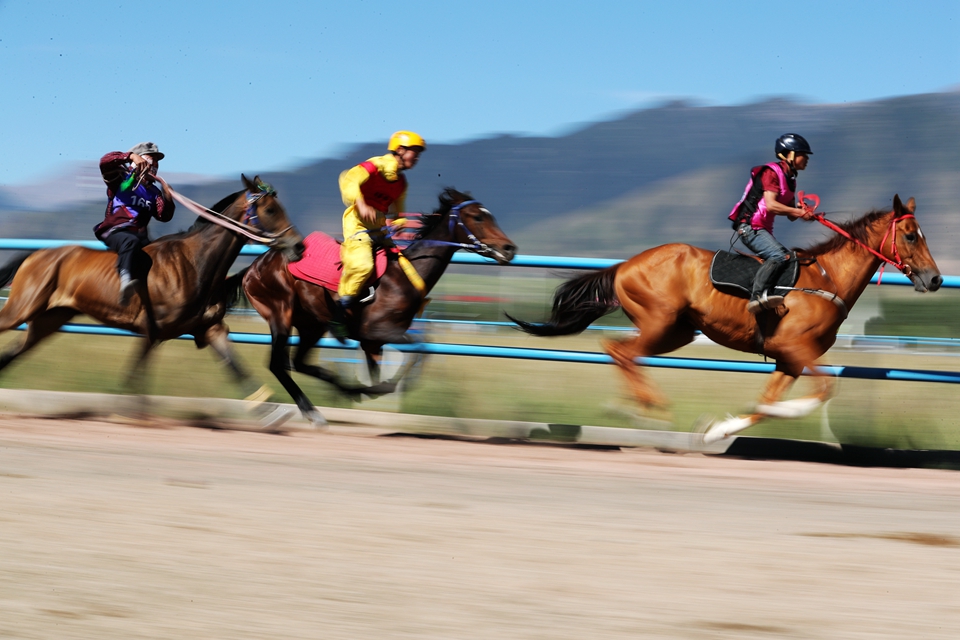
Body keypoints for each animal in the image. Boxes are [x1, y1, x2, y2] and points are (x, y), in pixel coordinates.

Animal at [0, 175, 304, 416]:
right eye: (270, 209)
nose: (298, 245)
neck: (195, 263)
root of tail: (36, 255)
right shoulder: (153, 329)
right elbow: (135, 375)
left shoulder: (209, 328)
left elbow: (236, 366)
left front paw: (271, 410)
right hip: (22, 308)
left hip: (49, 319)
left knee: (13, 352)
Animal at [235, 186, 516, 424]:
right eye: (477, 217)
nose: (509, 248)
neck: (403, 276)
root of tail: (252, 268)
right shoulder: (378, 331)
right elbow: (420, 349)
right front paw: (380, 388)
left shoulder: (373, 343)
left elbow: (394, 362)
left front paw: (368, 390)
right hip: (280, 314)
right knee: (277, 364)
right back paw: (311, 411)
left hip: (311, 325)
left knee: (299, 362)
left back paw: (341, 391)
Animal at [512, 195, 940, 444]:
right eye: (911, 235)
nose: (935, 279)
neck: (825, 278)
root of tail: (625, 265)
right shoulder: (793, 347)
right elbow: (823, 389)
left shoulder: (788, 360)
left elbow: (767, 403)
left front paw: (718, 429)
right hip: (659, 321)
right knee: (623, 353)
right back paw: (643, 410)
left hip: (678, 331)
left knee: (620, 351)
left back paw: (637, 407)